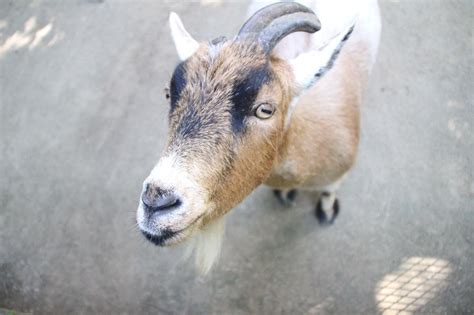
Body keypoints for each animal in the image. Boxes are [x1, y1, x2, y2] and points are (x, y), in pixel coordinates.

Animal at [135, 0, 380, 274]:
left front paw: (326, 213)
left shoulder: (338, 174)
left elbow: (328, 192)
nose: (156, 203)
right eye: (169, 94)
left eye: (265, 109)